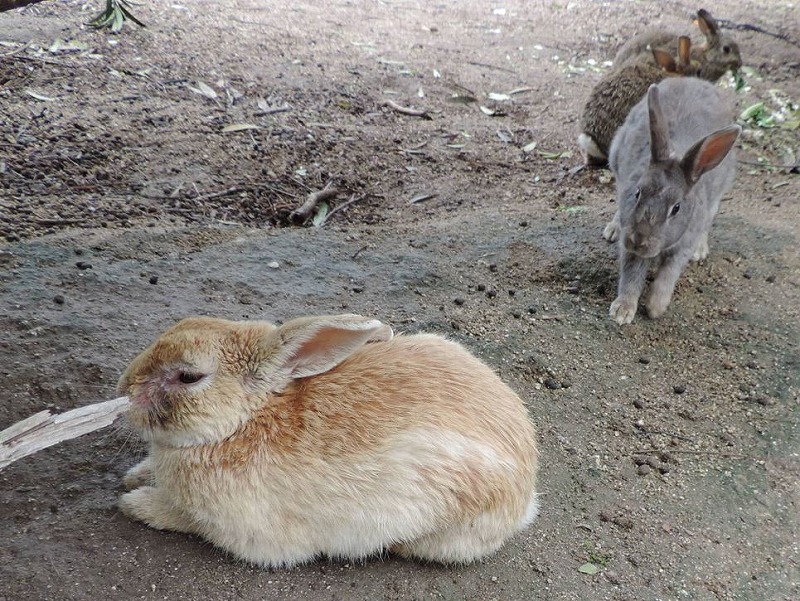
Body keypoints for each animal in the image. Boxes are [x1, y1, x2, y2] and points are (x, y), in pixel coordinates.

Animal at [115, 314, 540, 568]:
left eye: (189, 376)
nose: (124, 387)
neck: (243, 422)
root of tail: (525, 496)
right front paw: (135, 476)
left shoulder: (240, 530)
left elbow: (183, 519)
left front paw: (135, 503)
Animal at [608, 79, 740, 326]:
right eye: (638, 192)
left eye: (676, 208)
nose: (638, 240)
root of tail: (695, 80)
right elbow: (631, 274)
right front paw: (622, 311)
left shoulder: (681, 246)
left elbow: (668, 274)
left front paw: (655, 307)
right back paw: (612, 229)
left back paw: (701, 250)